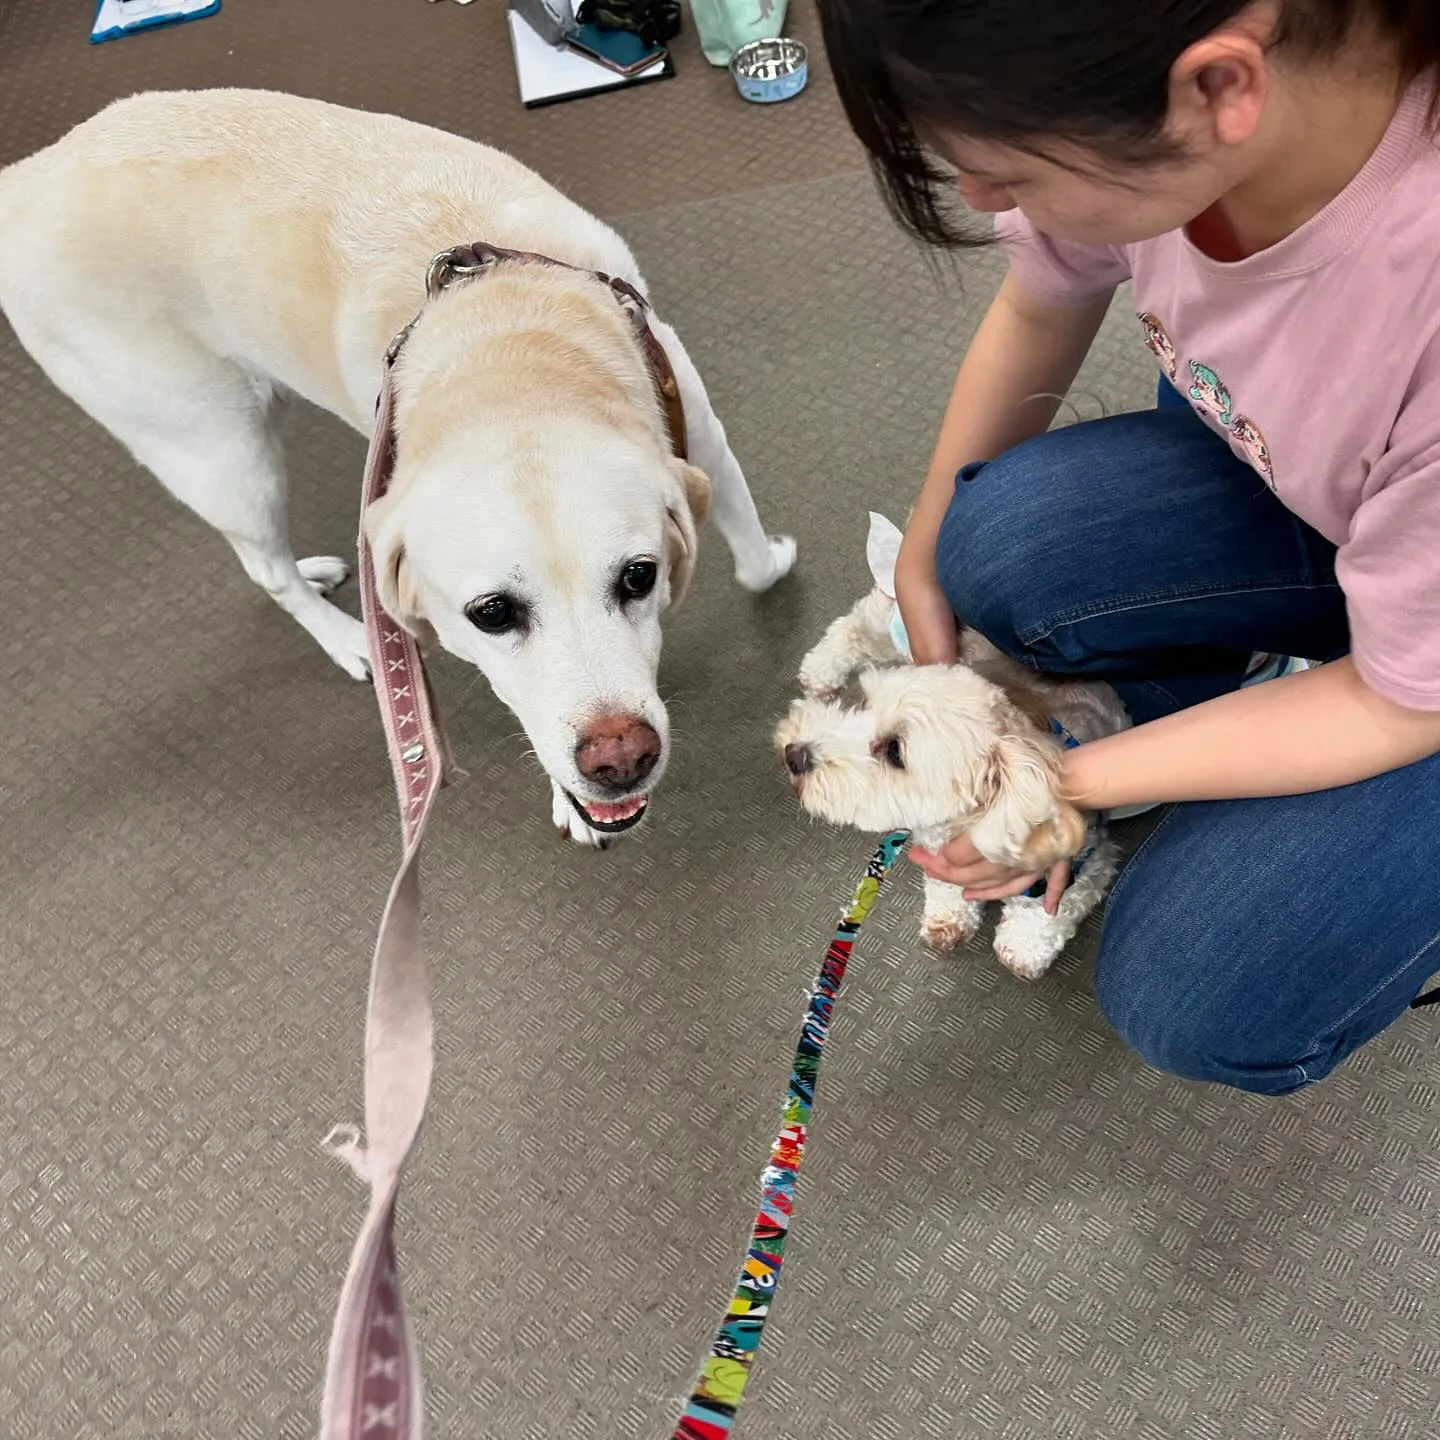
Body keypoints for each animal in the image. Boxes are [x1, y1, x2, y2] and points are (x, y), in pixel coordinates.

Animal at [0, 87, 794, 840]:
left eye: (639, 577)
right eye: (491, 613)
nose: (620, 758)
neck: (506, 344)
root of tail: (26, 173)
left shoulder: (702, 437)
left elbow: (752, 560)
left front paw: (771, 562)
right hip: (217, 449)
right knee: (262, 564)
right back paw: (348, 638)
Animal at [783, 518, 1128, 979]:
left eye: (894, 751)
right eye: (863, 705)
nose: (794, 754)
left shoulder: (1089, 857)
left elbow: (1052, 906)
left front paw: (1023, 945)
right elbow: (945, 884)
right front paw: (949, 916)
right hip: (894, 627)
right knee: (853, 626)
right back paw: (821, 672)